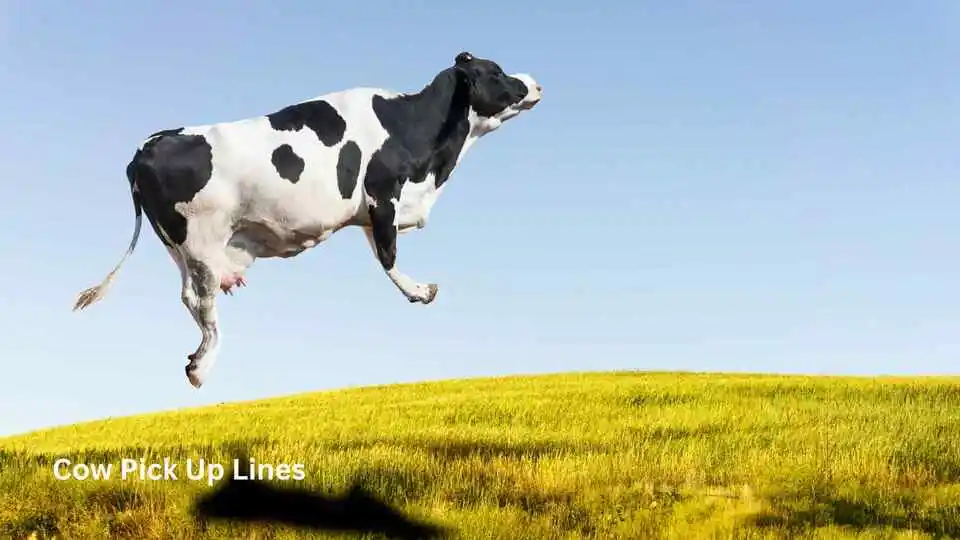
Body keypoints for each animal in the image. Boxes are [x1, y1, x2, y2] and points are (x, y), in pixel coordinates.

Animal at [72, 51, 542, 389]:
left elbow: (383, 250)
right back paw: (201, 367)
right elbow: (389, 256)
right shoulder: (382, 194)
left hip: (181, 247)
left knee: (190, 296)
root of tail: (146, 146)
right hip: (201, 241)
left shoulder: (371, 210)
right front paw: (420, 291)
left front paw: (420, 289)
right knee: (201, 301)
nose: (536, 82)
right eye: (497, 72)